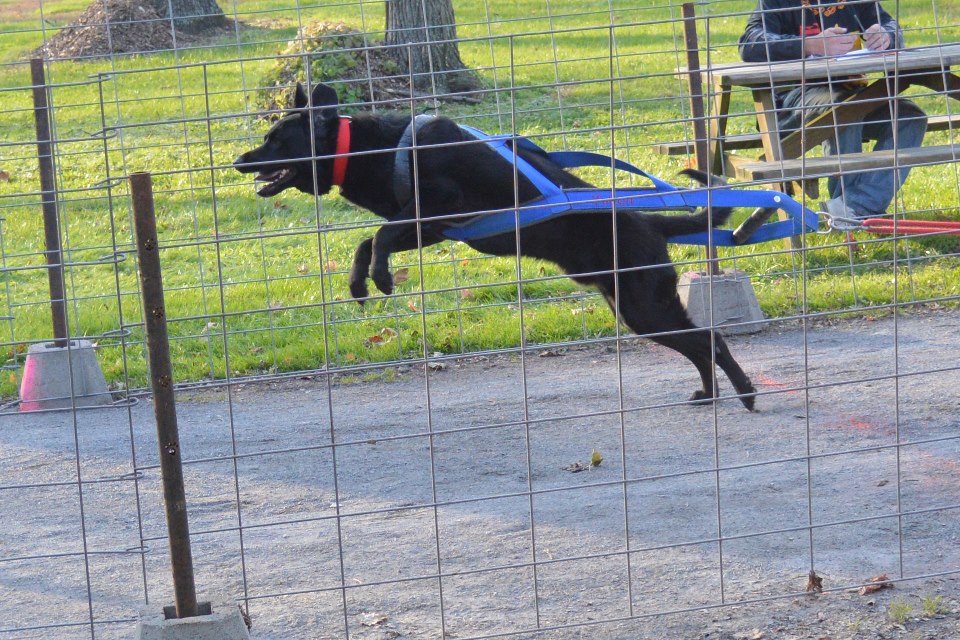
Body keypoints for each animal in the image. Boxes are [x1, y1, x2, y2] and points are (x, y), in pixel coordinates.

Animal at [234, 82, 756, 410]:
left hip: (643, 306)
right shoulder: (432, 227)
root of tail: (649, 222)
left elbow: (379, 236)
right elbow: (369, 240)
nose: (239, 161)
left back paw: (746, 393)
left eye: (277, 139)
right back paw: (712, 394)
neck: (376, 148)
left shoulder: (439, 206)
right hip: (635, 307)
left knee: (710, 340)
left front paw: (379, 277)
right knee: (701, 344)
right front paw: (360, 282)